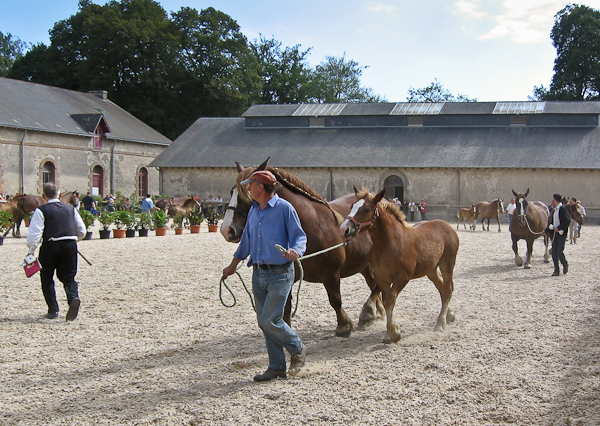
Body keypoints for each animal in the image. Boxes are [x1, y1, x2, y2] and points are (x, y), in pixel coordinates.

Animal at [218, 158, 382, 338]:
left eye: (247, 194)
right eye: (232, 191)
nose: (227, 230)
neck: (310, 227)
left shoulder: (331, 274)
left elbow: (335, 300)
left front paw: (344, 326)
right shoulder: (286, 279)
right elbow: (285, 310)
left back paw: (368, 313)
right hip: (364, 264)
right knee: (373, 284)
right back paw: (376, 312)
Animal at [338, 186, 460, 342]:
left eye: (366, 209)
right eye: (351, 206)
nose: (344, 229)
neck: (390, 243)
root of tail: (446, 225)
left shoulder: (402, 277)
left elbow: (390, 300)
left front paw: (393, 333)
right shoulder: (382, 279)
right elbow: (386, 301)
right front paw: (389, 332)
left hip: (447, 263)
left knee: (448, 289)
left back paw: (440, 323)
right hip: (431, 269)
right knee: (442, 287)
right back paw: (449, 315)